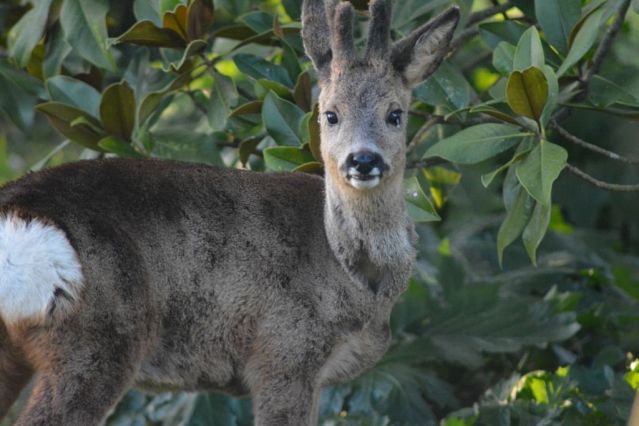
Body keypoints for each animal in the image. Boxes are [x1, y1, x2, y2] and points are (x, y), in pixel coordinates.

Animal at [0, 1, 460, 424]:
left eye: (395, 114)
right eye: (330, 114)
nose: (362, 160)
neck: (356, 277)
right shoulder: (283, 352)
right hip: (99, 335)